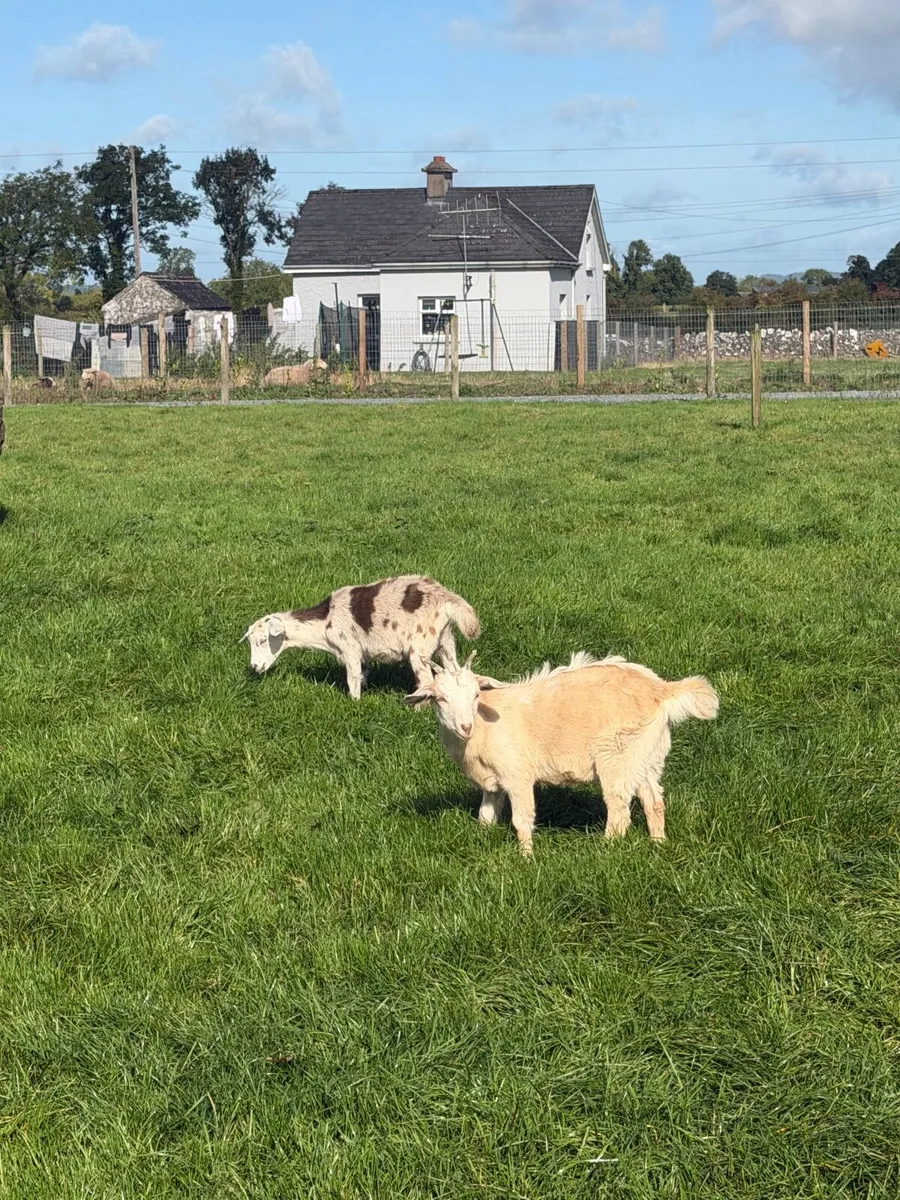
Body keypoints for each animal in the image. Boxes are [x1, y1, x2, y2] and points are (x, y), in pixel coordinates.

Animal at [242, 575, 480, 698]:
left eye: (263, 640)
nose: (255, 667)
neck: (324, 623)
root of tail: (447, 599)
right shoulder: (361, 653)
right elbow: (363, 674)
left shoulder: (350, 648)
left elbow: (352, 678)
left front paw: (354, 702)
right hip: (445, 640)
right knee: (454, 669)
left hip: (420, 645)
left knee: (426, 680)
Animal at [405, 651, 719, 857]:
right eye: (440, 698)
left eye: (475, 696)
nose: (465, 726)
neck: (483, 729)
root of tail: (661, 690)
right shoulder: (493, 783)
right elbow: (485, 817)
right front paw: (483, 842)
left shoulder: (517, 774)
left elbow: (521, 820)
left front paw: (526, 858)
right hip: (645, 755)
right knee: (654, 801)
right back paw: (658, 844)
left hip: (616, 754)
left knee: (619, 810)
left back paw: (605, 851)